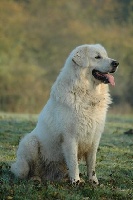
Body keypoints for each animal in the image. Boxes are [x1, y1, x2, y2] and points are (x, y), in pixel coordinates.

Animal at [11, 43, 118, 184]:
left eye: (106, 55)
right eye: (97, 57)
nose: (116, 63)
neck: (86, 93)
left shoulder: (94, 137)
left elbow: (92, 163)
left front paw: (93, 182)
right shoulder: (70, 137)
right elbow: (73, 163)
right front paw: (76, 182)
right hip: (30, 142)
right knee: (27, 172)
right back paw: (35, 178)